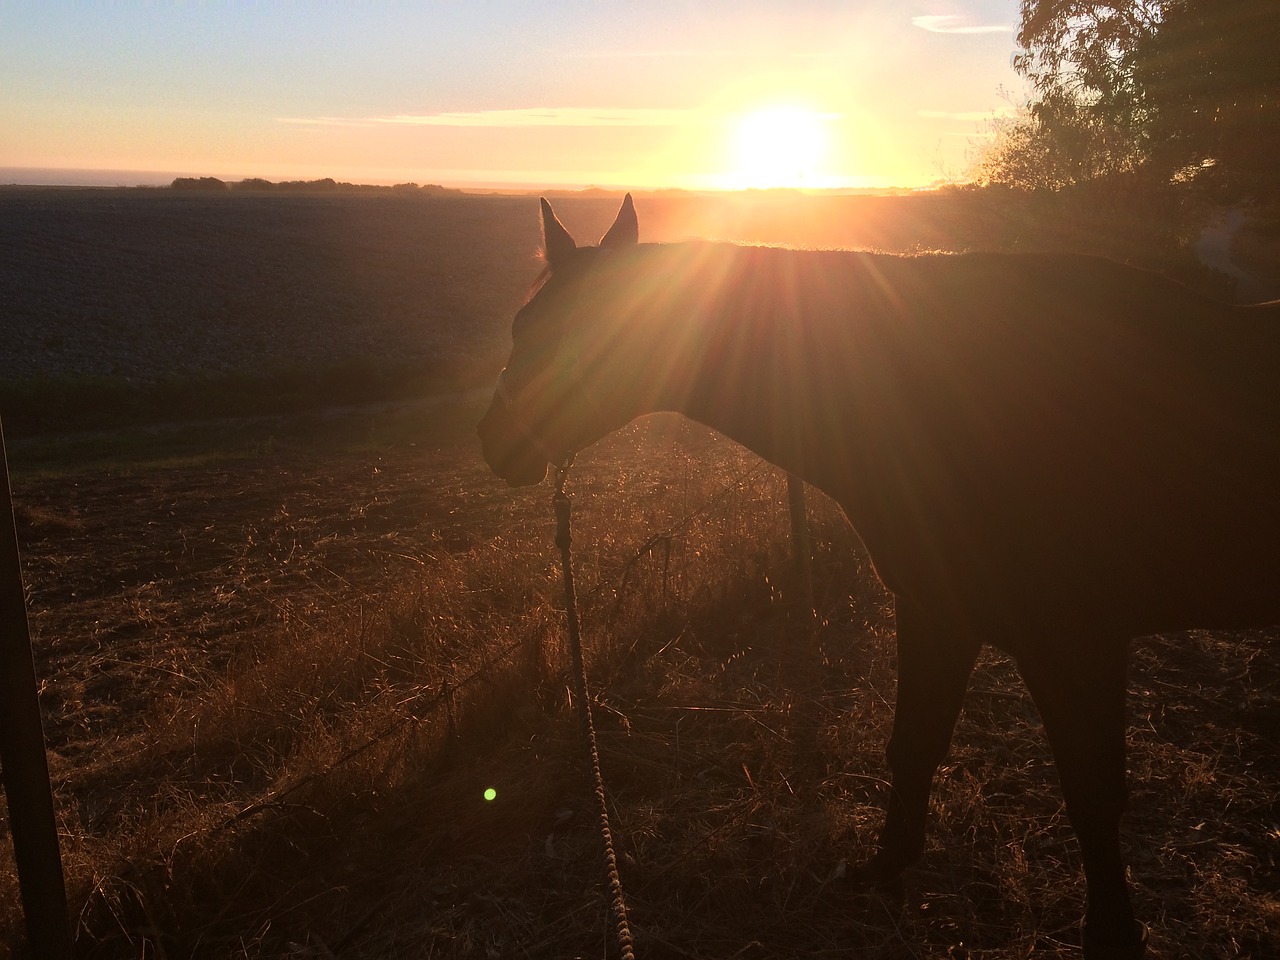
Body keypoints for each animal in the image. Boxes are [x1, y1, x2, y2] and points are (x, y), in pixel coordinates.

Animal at [481, 192, 1280, 957]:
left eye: (578, 333)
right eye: (518, 325)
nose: (494, 442)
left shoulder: (1078, 645)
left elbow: (1092, 792)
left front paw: (1112, 933)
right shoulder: (938, 612)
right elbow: (915, 744)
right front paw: (884, 867)